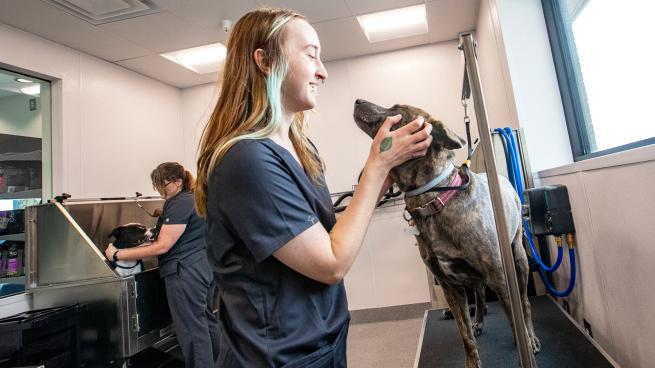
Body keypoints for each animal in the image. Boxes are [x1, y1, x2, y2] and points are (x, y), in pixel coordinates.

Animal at [356, 99, 540, 366]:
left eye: (396, 108)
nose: (357, 101)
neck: (436, 200)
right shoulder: (449, 285)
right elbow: (465, 337)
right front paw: (472, 357)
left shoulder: (501, 279)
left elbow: (515, 322)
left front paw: (525, 344)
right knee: (480, 293)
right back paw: (478, 321)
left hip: (518, 257)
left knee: (524, 302)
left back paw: (531, 336)